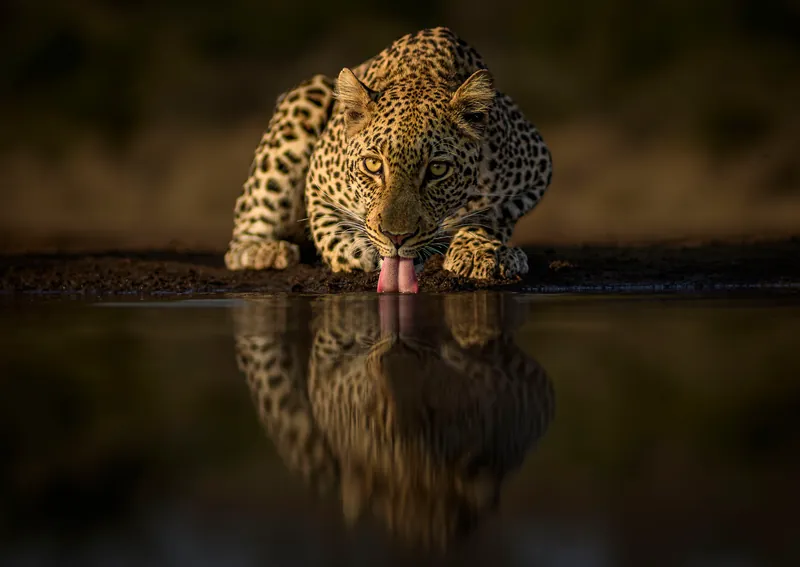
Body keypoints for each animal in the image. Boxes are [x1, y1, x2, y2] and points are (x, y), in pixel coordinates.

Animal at [224, 27, 553, 293]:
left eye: (437, 169)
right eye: (372, 165)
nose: (396, 239)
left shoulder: (537, 172)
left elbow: (492, 214)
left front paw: (480, 252)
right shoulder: (319, 183)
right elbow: (328, 227)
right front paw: (361, 250)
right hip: (308, 94)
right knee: (240, 240)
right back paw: (263, 250)